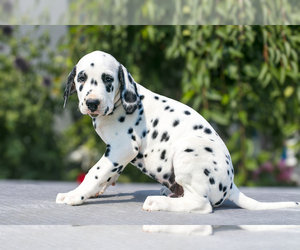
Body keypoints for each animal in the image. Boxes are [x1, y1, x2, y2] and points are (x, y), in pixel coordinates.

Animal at [56, 50, 300, 213]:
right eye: (81, 78)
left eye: (107, 79)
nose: (92, 102)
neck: (119, 105)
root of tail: (230, 186)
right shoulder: (118, 155)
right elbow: (108, 173)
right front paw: (96, 190)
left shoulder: (121, 149)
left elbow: (95, 172)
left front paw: (75, 194)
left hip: (187, 152)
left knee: (201, 204)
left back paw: (159, 202)